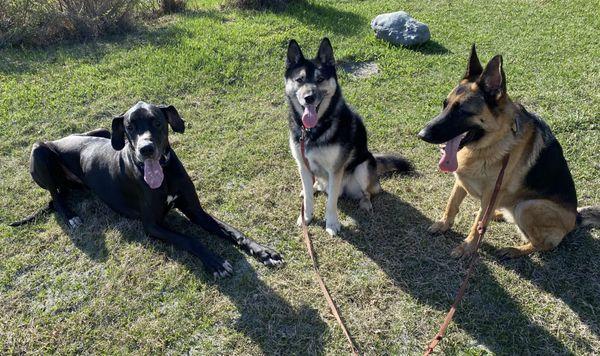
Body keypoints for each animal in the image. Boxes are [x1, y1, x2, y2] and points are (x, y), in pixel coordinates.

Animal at [11, 101, 284, 276]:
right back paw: (70, 216)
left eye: (157, 122)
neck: (163, 173)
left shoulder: (196, 211)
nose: (146, 149)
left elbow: (232, 230)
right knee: (54, 195)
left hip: (102, 132)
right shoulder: (152, 225)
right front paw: (215, 262)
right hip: (39, 149)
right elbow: (189, 239)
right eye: (130, 127)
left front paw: (264, 252)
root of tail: (61, 138)